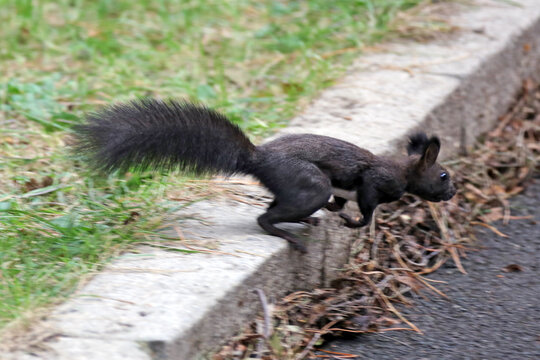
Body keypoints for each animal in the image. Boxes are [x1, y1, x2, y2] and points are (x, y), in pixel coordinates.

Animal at [75, 97, 456, 252]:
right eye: (442, 176)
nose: (452, 193)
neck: (403, 172)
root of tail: (259, 159)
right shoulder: (374, 184)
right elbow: (365, 209)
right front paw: (353, 222)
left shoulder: (344, 190)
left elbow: (339, 202)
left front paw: (337, 215)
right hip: (310, 185)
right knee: (265, 218)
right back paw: (290, 236)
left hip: (298, 188)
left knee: (275, 207)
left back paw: (306, 221)